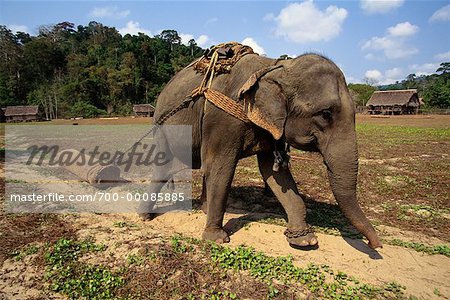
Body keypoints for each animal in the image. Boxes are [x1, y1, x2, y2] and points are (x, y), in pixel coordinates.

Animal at [138, 50, 384, 250]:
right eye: (325, 114)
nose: (375, 245)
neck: (275, 66)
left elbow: (273, 172)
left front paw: (305, 241)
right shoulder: (222, 118)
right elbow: (221, 166)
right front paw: (217, 239)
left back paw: (203, 210)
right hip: (161, 125)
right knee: (164, 169)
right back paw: (145, 218)